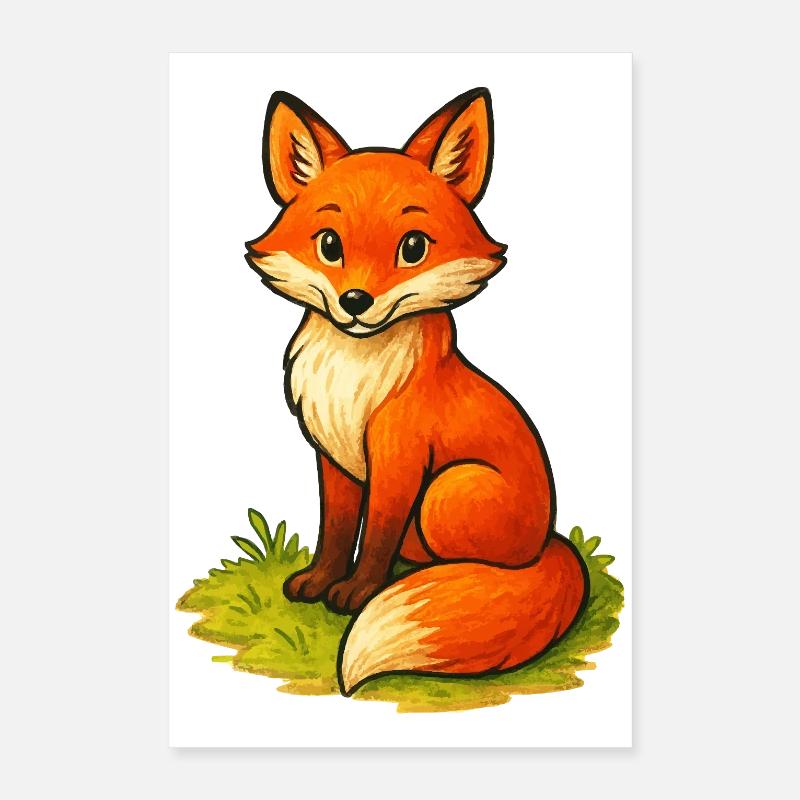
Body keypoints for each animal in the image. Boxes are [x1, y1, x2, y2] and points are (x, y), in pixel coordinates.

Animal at [245, 88, 588, 696]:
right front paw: (320, 581)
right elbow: (337, 529)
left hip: (448, 492)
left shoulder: (399, 456)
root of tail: (550, 540)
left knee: (470, 563)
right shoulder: (332, 456)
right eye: (329, 244)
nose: (356, 302)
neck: (354, 375)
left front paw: (357, 594)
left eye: (412, 248)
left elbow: (376, 534)